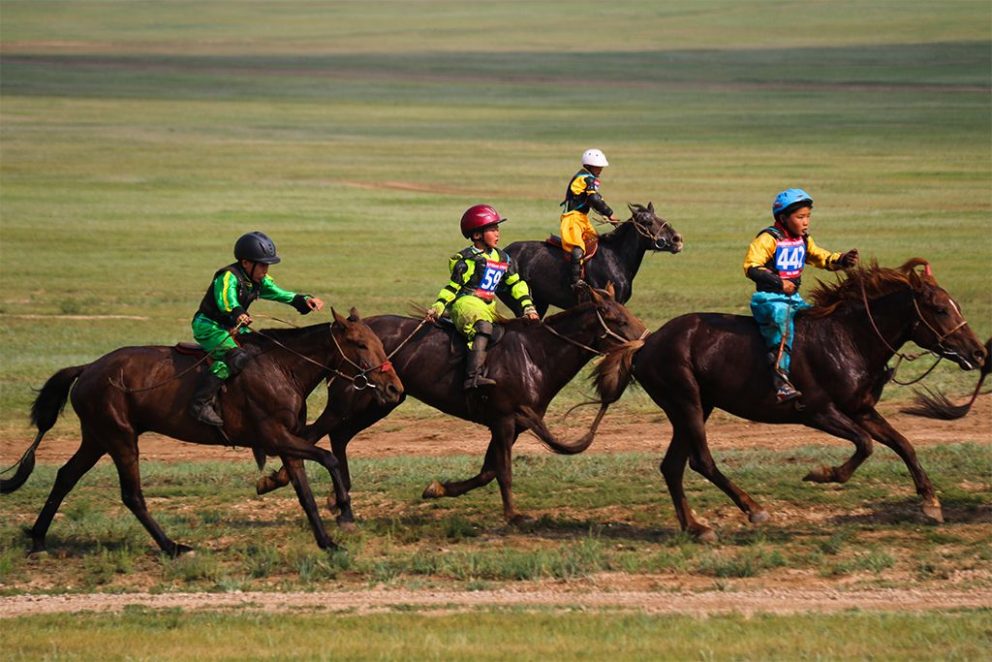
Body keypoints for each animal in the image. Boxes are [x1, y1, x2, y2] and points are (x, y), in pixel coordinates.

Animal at [0, 310, 404, 556]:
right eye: (360, 344)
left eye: (378, 342)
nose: (394, 388)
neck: (282, 368)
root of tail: (87, 369)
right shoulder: (274, 437)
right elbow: (330, 459)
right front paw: (343, 506)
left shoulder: (289, 440)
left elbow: (304, 492)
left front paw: (326, 540)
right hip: (120, 438)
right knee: (132, 494)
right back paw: (172, 546)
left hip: (97, 438)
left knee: (66, 476)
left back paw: (38, 538)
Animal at [252, 286, 648, 524]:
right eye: (617, 319)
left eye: (629, 313)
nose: (644, 340)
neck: (535, 354)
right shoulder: (504, 420)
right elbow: (502, 471)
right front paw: (514, 515)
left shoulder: (512, 425)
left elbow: (488, 470)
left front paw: (438, 488)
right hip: (353, 399)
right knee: (313, 433)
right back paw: (278, 479)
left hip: (382, 400)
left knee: (339, 437)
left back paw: (339, 499)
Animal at [504, 202, 680, 320]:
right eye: (647, 222)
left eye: (659, 218)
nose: (677, 239)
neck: (616, 257)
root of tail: (505, 250)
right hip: (521, 304)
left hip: (540, 303)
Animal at [592, 256, 988, 544]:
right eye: (940, 309)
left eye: (955, 304)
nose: (979, 352)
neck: (849, 338)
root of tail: (644, 344)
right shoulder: (817, 410)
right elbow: (865, 445)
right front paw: (823, 474)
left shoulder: (861, 409)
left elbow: (903, 444)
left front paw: (931, 502)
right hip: (685, 401)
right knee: (700, 461)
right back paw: (752, 508)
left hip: (695, 407)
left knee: (672, 466)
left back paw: (697, 528)